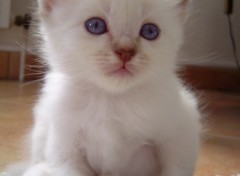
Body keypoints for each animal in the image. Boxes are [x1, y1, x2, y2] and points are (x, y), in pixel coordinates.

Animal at [2, 0, 201, 175]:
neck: (111, 102)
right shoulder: (67, 153)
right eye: (95, 25)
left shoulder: (180, 139)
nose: (125, 52)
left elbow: (175, 169)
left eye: (150, 31)